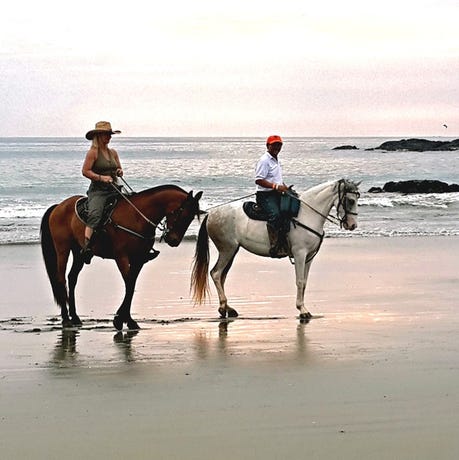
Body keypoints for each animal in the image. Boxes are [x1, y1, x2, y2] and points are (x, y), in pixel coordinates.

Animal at [40, 183, 202, 330]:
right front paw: (121, 319)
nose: (173, 240)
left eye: (192, 217)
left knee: (72, 277)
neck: (137, 217)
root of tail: (58, 206)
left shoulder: (138, 259)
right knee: (60, 279)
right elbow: (129, 285)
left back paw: (74, 317)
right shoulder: (121, 257)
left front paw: (126, 319)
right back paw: (66, 318)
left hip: (78, 252)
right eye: (182, 213)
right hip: (62, 249)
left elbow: (131, 286)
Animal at [190, 178, 360, 322]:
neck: (306, 214)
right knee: (216, 273)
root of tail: (211, 214)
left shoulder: (309, 256)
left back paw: (227, 308)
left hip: (232, 251)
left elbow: (304, 282)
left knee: (222, 276)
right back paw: (223, 307)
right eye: (350, 200)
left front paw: (303, 308)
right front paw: (302, 310)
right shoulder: (300, 254)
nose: (353, 225)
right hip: (227, 249)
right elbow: (299, 281)